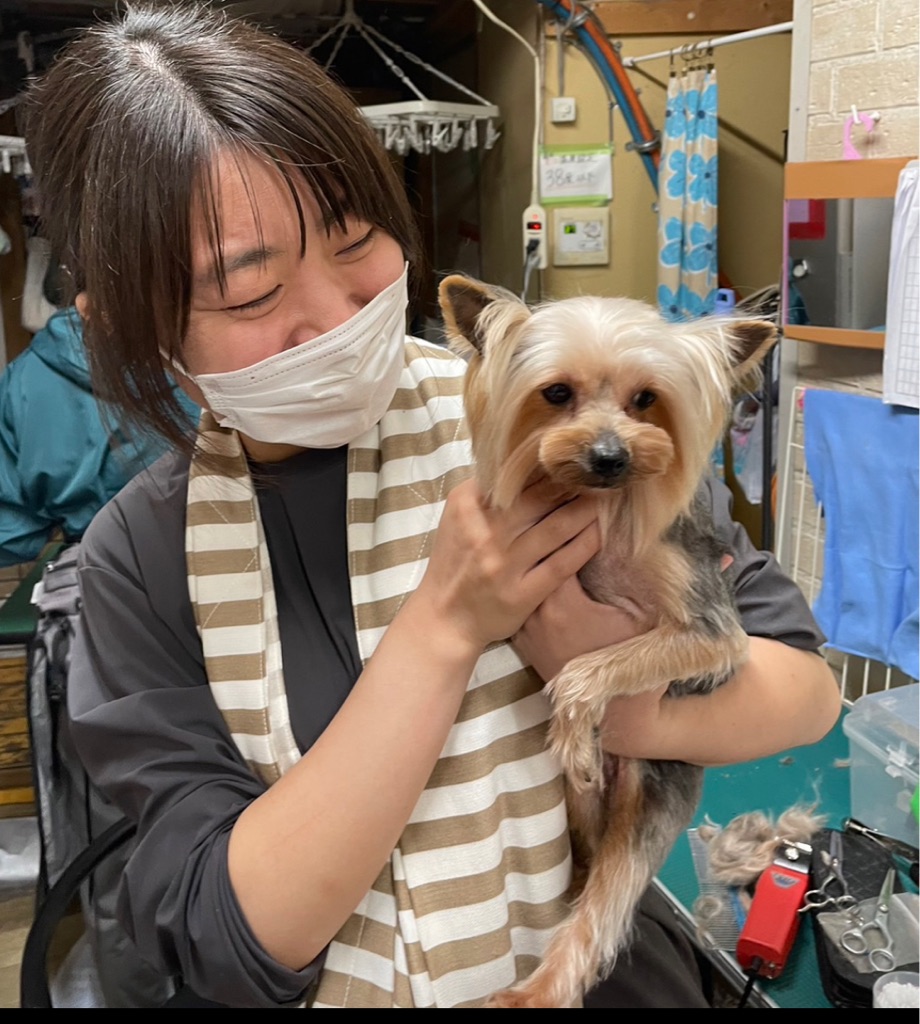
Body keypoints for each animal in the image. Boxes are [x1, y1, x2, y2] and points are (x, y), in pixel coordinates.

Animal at [438, 274, 777, 1008]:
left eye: (646, 399)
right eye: (556, 393)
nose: (610, 457)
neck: (601, 506)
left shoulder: (709, 631)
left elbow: (597, 664)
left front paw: (574, 726)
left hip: (647, 810)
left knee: (603, 907)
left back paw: (538, 989)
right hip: (576, 810)